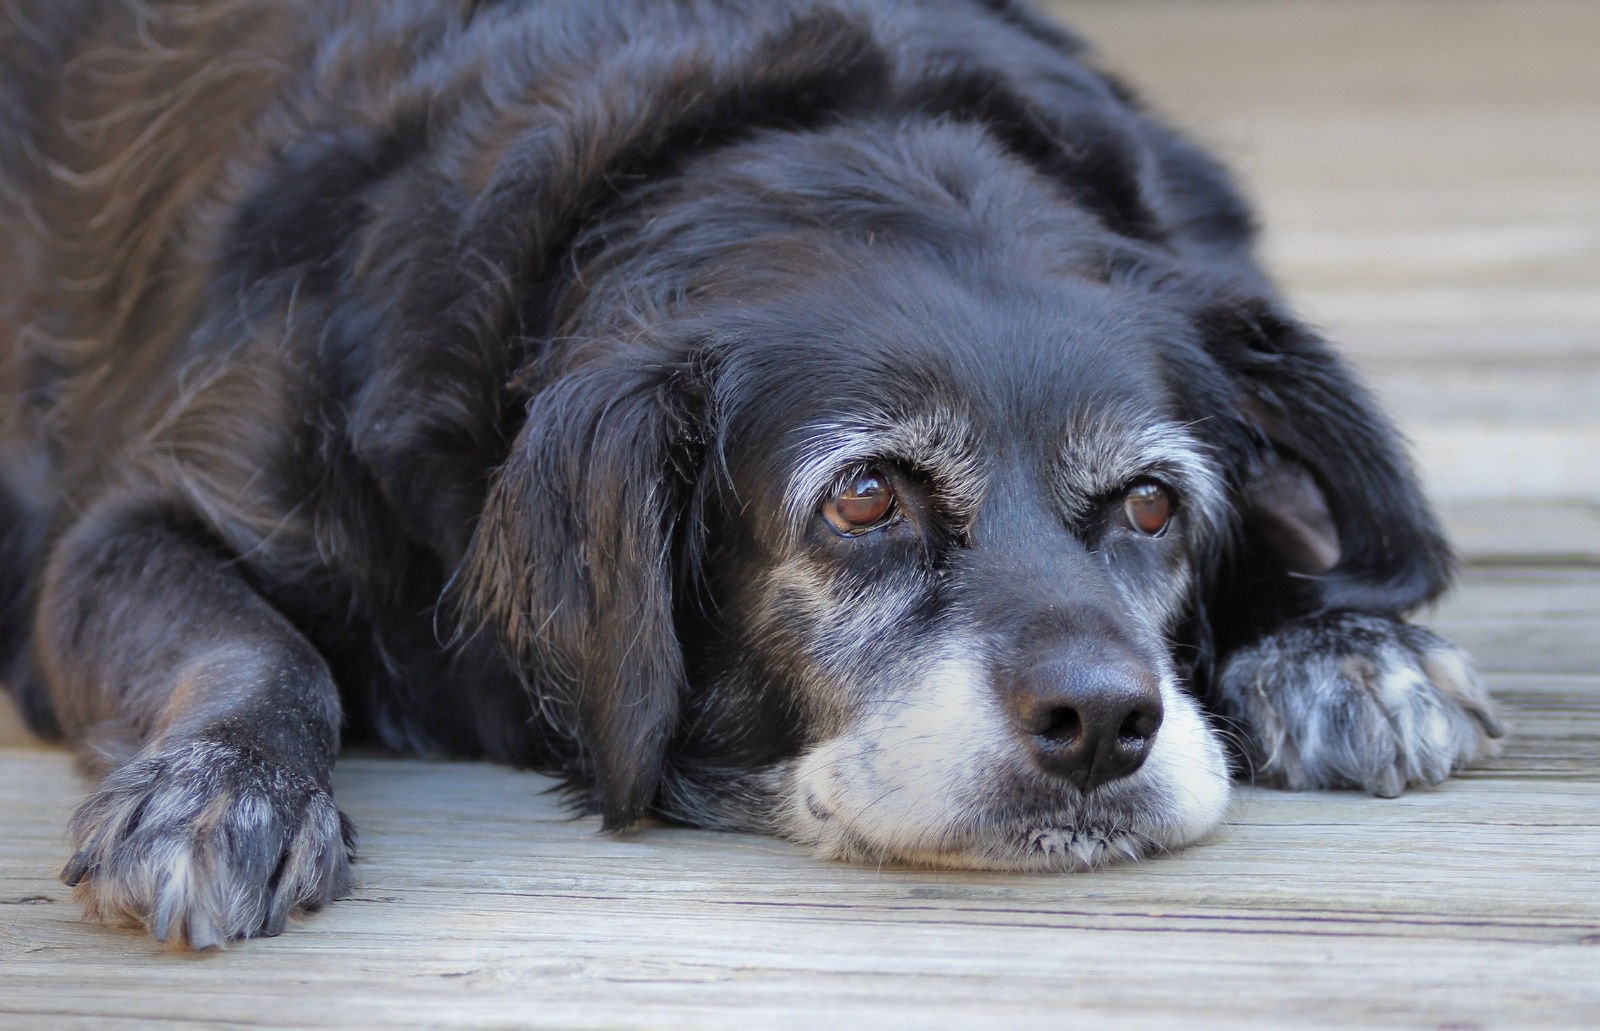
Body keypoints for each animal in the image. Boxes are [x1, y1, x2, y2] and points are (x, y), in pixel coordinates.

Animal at [0, 0, 1497, 947]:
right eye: (865, 496)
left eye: (1151, 504)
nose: (1104, 722)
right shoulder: (128, 527)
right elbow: (259, 644)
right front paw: (225, 785)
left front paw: (1336, 640)